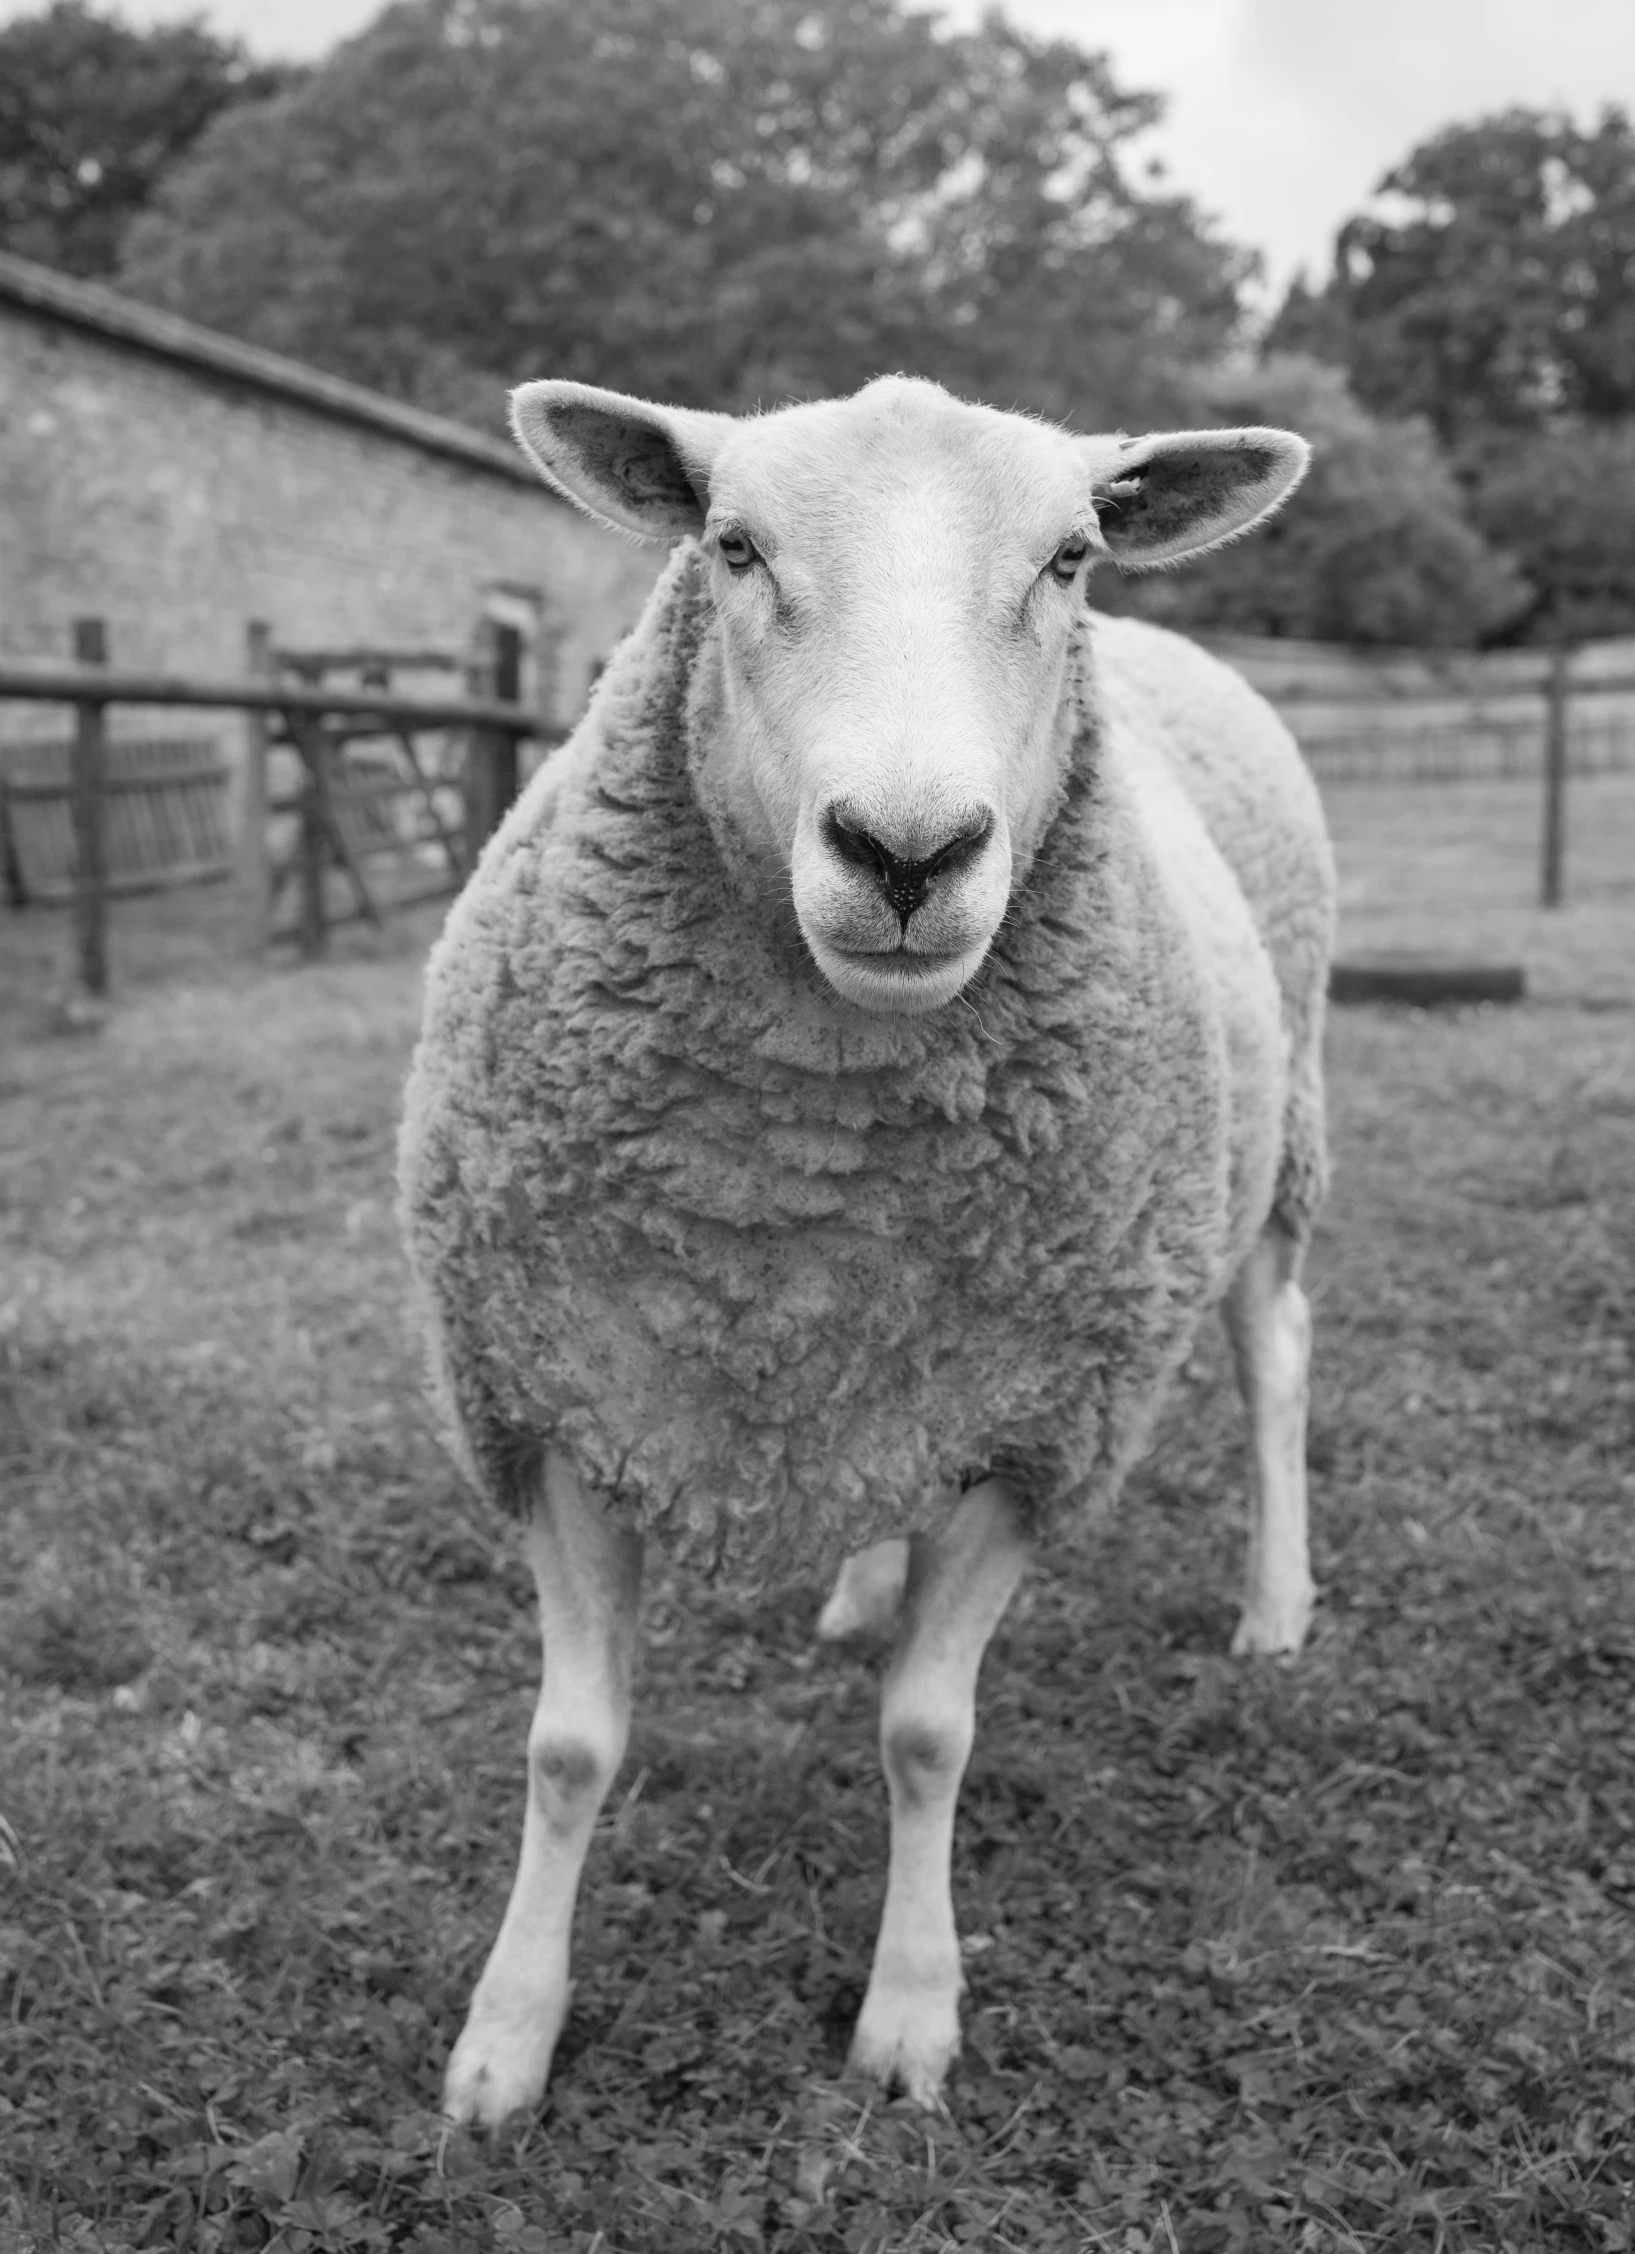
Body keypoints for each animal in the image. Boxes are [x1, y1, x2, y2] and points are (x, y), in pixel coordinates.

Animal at [401, 374, 1335, 2127]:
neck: (806, 1217)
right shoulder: (546, 1397)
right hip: (914, 1363)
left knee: (1273, 1364)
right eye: (731, 545)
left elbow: (923, 1734)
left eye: (1067, 555)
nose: (907, 852)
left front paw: (908, 2014)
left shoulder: (1042, 1431)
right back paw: (855, 1587)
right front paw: (504, 2036)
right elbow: (568, 1748)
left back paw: (1273, 1605)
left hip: (1272, 1144)